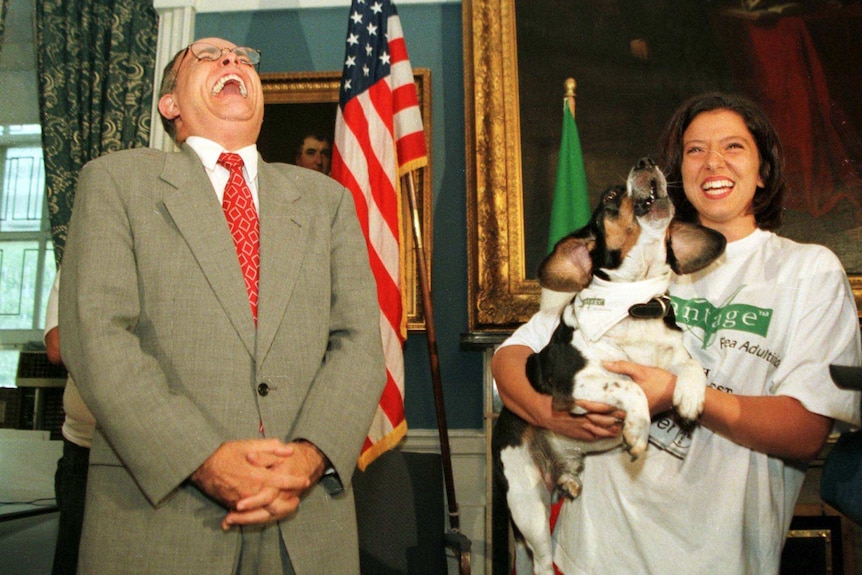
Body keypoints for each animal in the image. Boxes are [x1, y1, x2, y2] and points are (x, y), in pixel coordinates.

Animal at [492, 159, 728, 575]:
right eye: (610, 197)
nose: (646, 161)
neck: (636, 305)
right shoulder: (575, 382)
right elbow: (626, 385)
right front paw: (636, 430)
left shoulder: (672, 356)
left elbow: (690, 367)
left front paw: (689, 398)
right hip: (527, 505)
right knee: (542, 560)